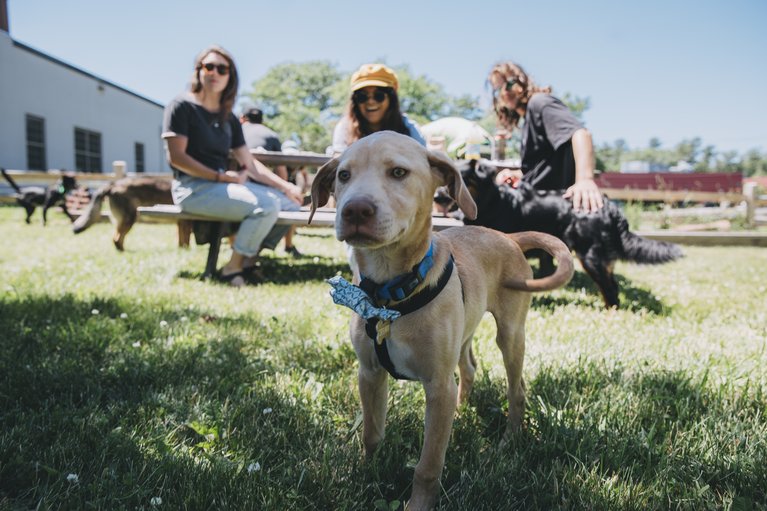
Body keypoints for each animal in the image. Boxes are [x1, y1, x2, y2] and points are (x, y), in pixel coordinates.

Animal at [308, 133, 572, 511]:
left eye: (399, 172)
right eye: (343, 175)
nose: (355, 210)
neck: (391, 293)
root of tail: (508, 237)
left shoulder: (437, 385)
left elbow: (429, 463)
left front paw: (418, 504)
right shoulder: (369, 373)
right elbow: (372, 433)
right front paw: (364, 475)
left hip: (510, 334)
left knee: (517, 389)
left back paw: (509, 441)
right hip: (463, 333)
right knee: (469, 368)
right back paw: (461, 412)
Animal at [438, 159, 684, 308]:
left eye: (460, 179)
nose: (438, 197)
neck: (490, 201)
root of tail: (609, 207)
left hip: (590, 255)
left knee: (611, 288)